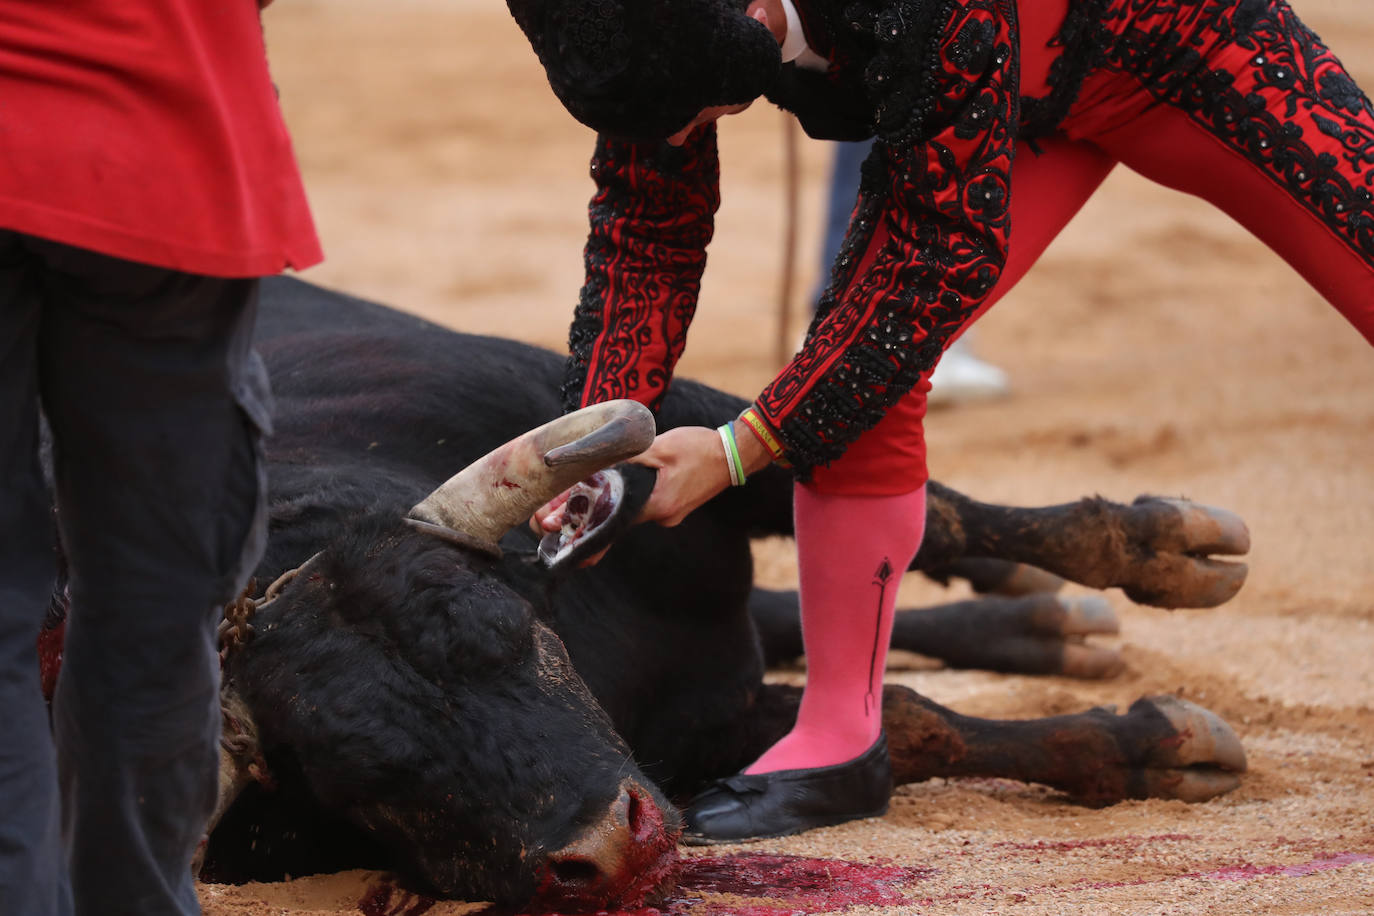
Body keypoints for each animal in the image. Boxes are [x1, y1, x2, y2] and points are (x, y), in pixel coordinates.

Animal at [42, 277, 1253, 911]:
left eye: (506, 631)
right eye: (356, 778)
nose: (618, 853)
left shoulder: (675, 430)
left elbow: (928, 510)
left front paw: (1165, 554)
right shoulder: (692, 734)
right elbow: (904, 722)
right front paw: (1140, 742)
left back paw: (1053, 601)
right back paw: (1042, 627)